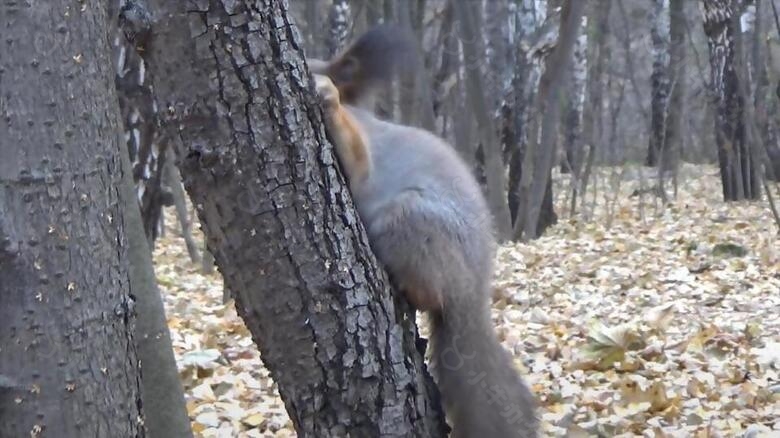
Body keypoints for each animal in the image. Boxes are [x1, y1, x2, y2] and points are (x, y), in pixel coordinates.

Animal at [308, 25, 540, 436]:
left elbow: (356, 157)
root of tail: (470, 289)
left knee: (429, 293)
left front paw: (327, 97)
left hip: (409, 221)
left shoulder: (366, 158)